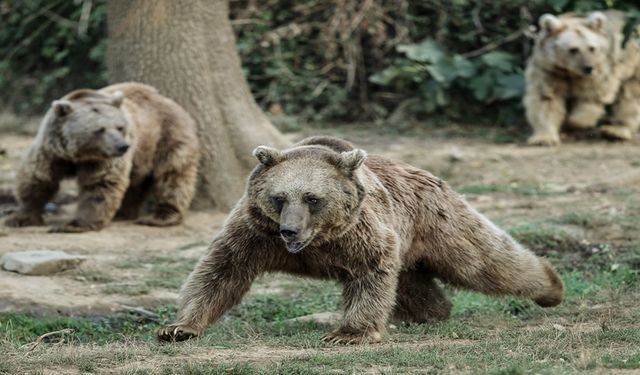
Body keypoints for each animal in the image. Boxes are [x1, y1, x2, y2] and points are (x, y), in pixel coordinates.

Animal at [4, 83, 200, 232]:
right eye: (99, 129)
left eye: (120, 127)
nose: (123, 146)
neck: (77, 154)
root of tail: (165, 99)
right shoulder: (51, 150)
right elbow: (39, 178)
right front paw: (20, 217)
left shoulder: (102, 159)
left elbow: (100, 184)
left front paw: (75, 224)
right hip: (141, 154)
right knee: (135, 183)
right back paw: (124, 213)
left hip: (167, 135)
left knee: (173, 175)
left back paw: (161, 216)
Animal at [158, 137, 564, 346]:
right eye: (278, 197)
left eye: (312, 198)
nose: (289, 231)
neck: (317, 242)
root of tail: (425, 173)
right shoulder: (254, 233)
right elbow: (219, 272)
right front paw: (178, 326)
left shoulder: (360, 235)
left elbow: (369, 275)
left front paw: (348, 333)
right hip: (409, 245)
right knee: (413, 284)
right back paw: (435, 310)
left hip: (436, 221)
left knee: (483, 260)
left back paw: (551, 286)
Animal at [524, 10, 640, 145]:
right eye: (573, 49)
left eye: (592, 48)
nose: (588, 67)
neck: (568, 70)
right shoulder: (549, 69)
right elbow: (546, 98)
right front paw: (543, 138)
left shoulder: (600, 67)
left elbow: (592, 96)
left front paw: (572, 123)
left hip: (633, 63)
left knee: (630, 97)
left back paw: (616, 131)